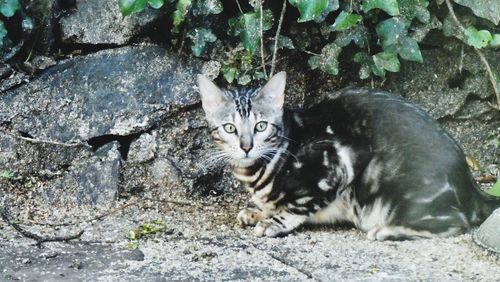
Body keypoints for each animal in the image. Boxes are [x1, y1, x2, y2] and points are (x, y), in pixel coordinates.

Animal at [196, 71, 500, 240]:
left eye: (260, 126)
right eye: (230, 128)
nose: (246, 146)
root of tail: (472, 186)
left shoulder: (338, 164)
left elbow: (298, 207)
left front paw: (273, 222)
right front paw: (258, 212)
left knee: (455, 223)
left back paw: (386, 230)